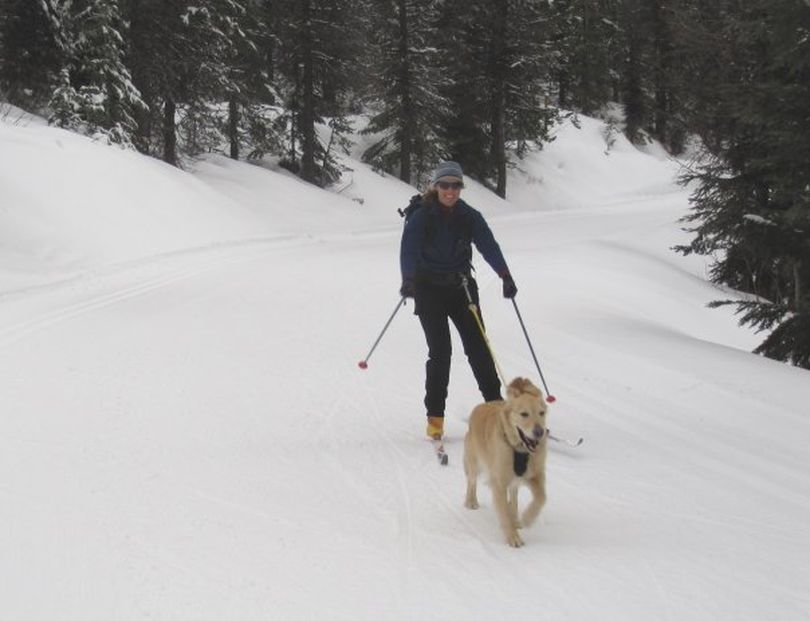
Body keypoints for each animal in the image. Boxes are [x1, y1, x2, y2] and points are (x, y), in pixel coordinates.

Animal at [460, 376, 548, 544]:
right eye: (524, 414)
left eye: (542, 413)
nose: (539, 432)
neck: (518, 449)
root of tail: (479, 407)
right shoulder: (499, 481)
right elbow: (504, 512)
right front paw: (513, 537)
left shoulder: (534, 475)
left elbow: (541, 497)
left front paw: (527, 518)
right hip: (475, 463)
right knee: (471, 481)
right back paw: (471, 501)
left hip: (514, 478)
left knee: (514, 494)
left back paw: (515, 517)